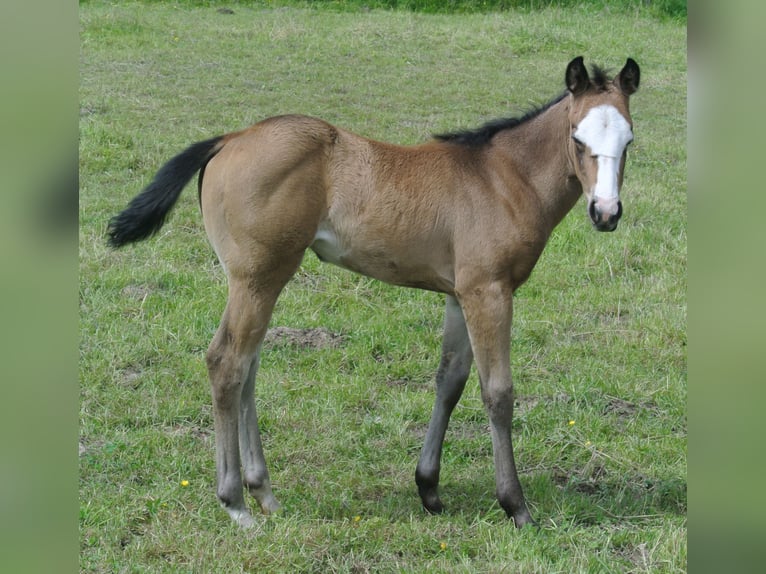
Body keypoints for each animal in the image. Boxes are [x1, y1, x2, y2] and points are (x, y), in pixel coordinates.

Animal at [108, 56, 640, 528]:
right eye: (577, 137)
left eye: (630, 139)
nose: (605, 212)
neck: (504, 178)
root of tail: (230, 139)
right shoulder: (490, 291)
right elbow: (498, 392)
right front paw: (516, 506)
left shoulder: (459, 292)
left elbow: (450, 381)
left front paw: (428, 489)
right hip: (256, 278)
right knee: (227, 363)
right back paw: (236, 503)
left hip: (262, 280)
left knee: (248, 367)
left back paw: (264, 493)